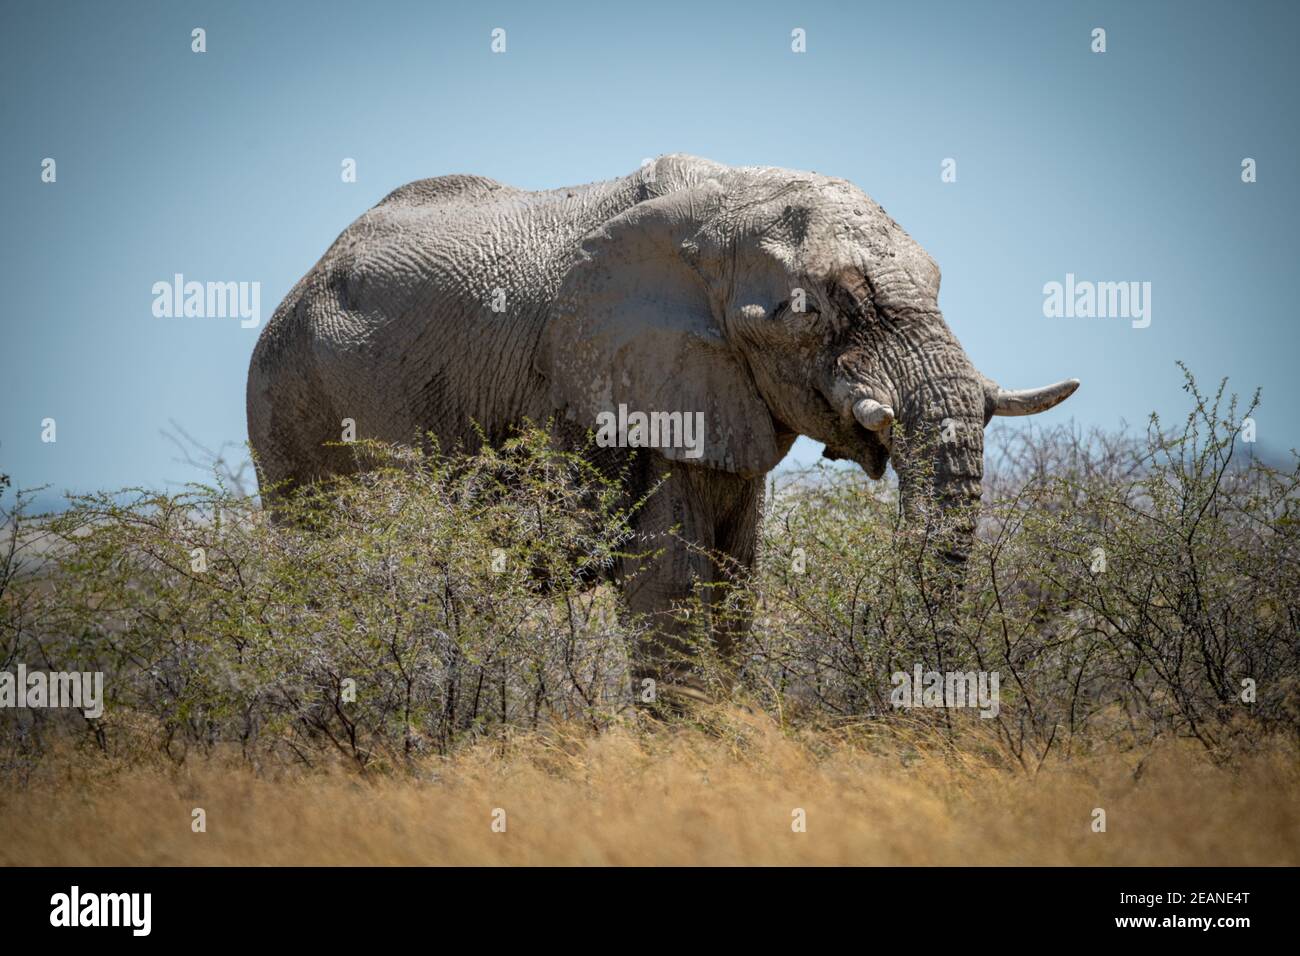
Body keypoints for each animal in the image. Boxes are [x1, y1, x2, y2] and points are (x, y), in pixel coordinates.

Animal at [245, 155, 1076, 702]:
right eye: (816, 309)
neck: (728, 202)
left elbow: (735, 583)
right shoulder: (632, 390)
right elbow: (670, 585)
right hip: (292, 405)